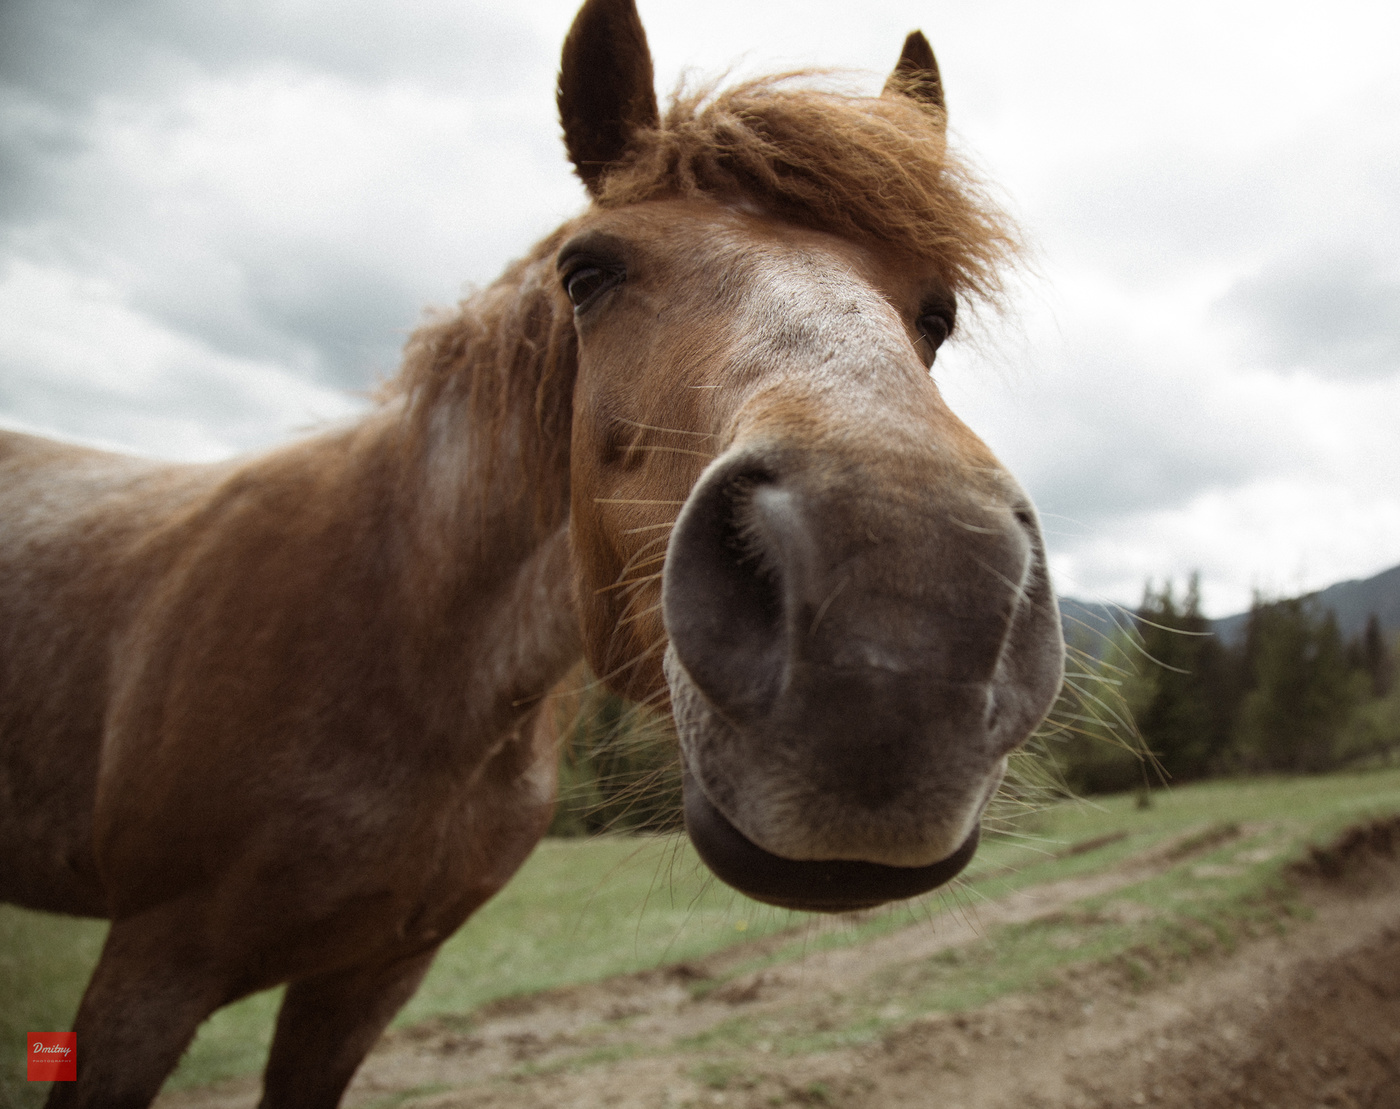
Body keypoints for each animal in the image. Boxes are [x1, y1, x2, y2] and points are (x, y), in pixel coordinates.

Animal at [0, 0, 1058, 1103]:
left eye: (935, 313)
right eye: (586, 273)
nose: (904, 621)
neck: (407, 637)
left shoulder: (368, 975)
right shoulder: (149, 970)